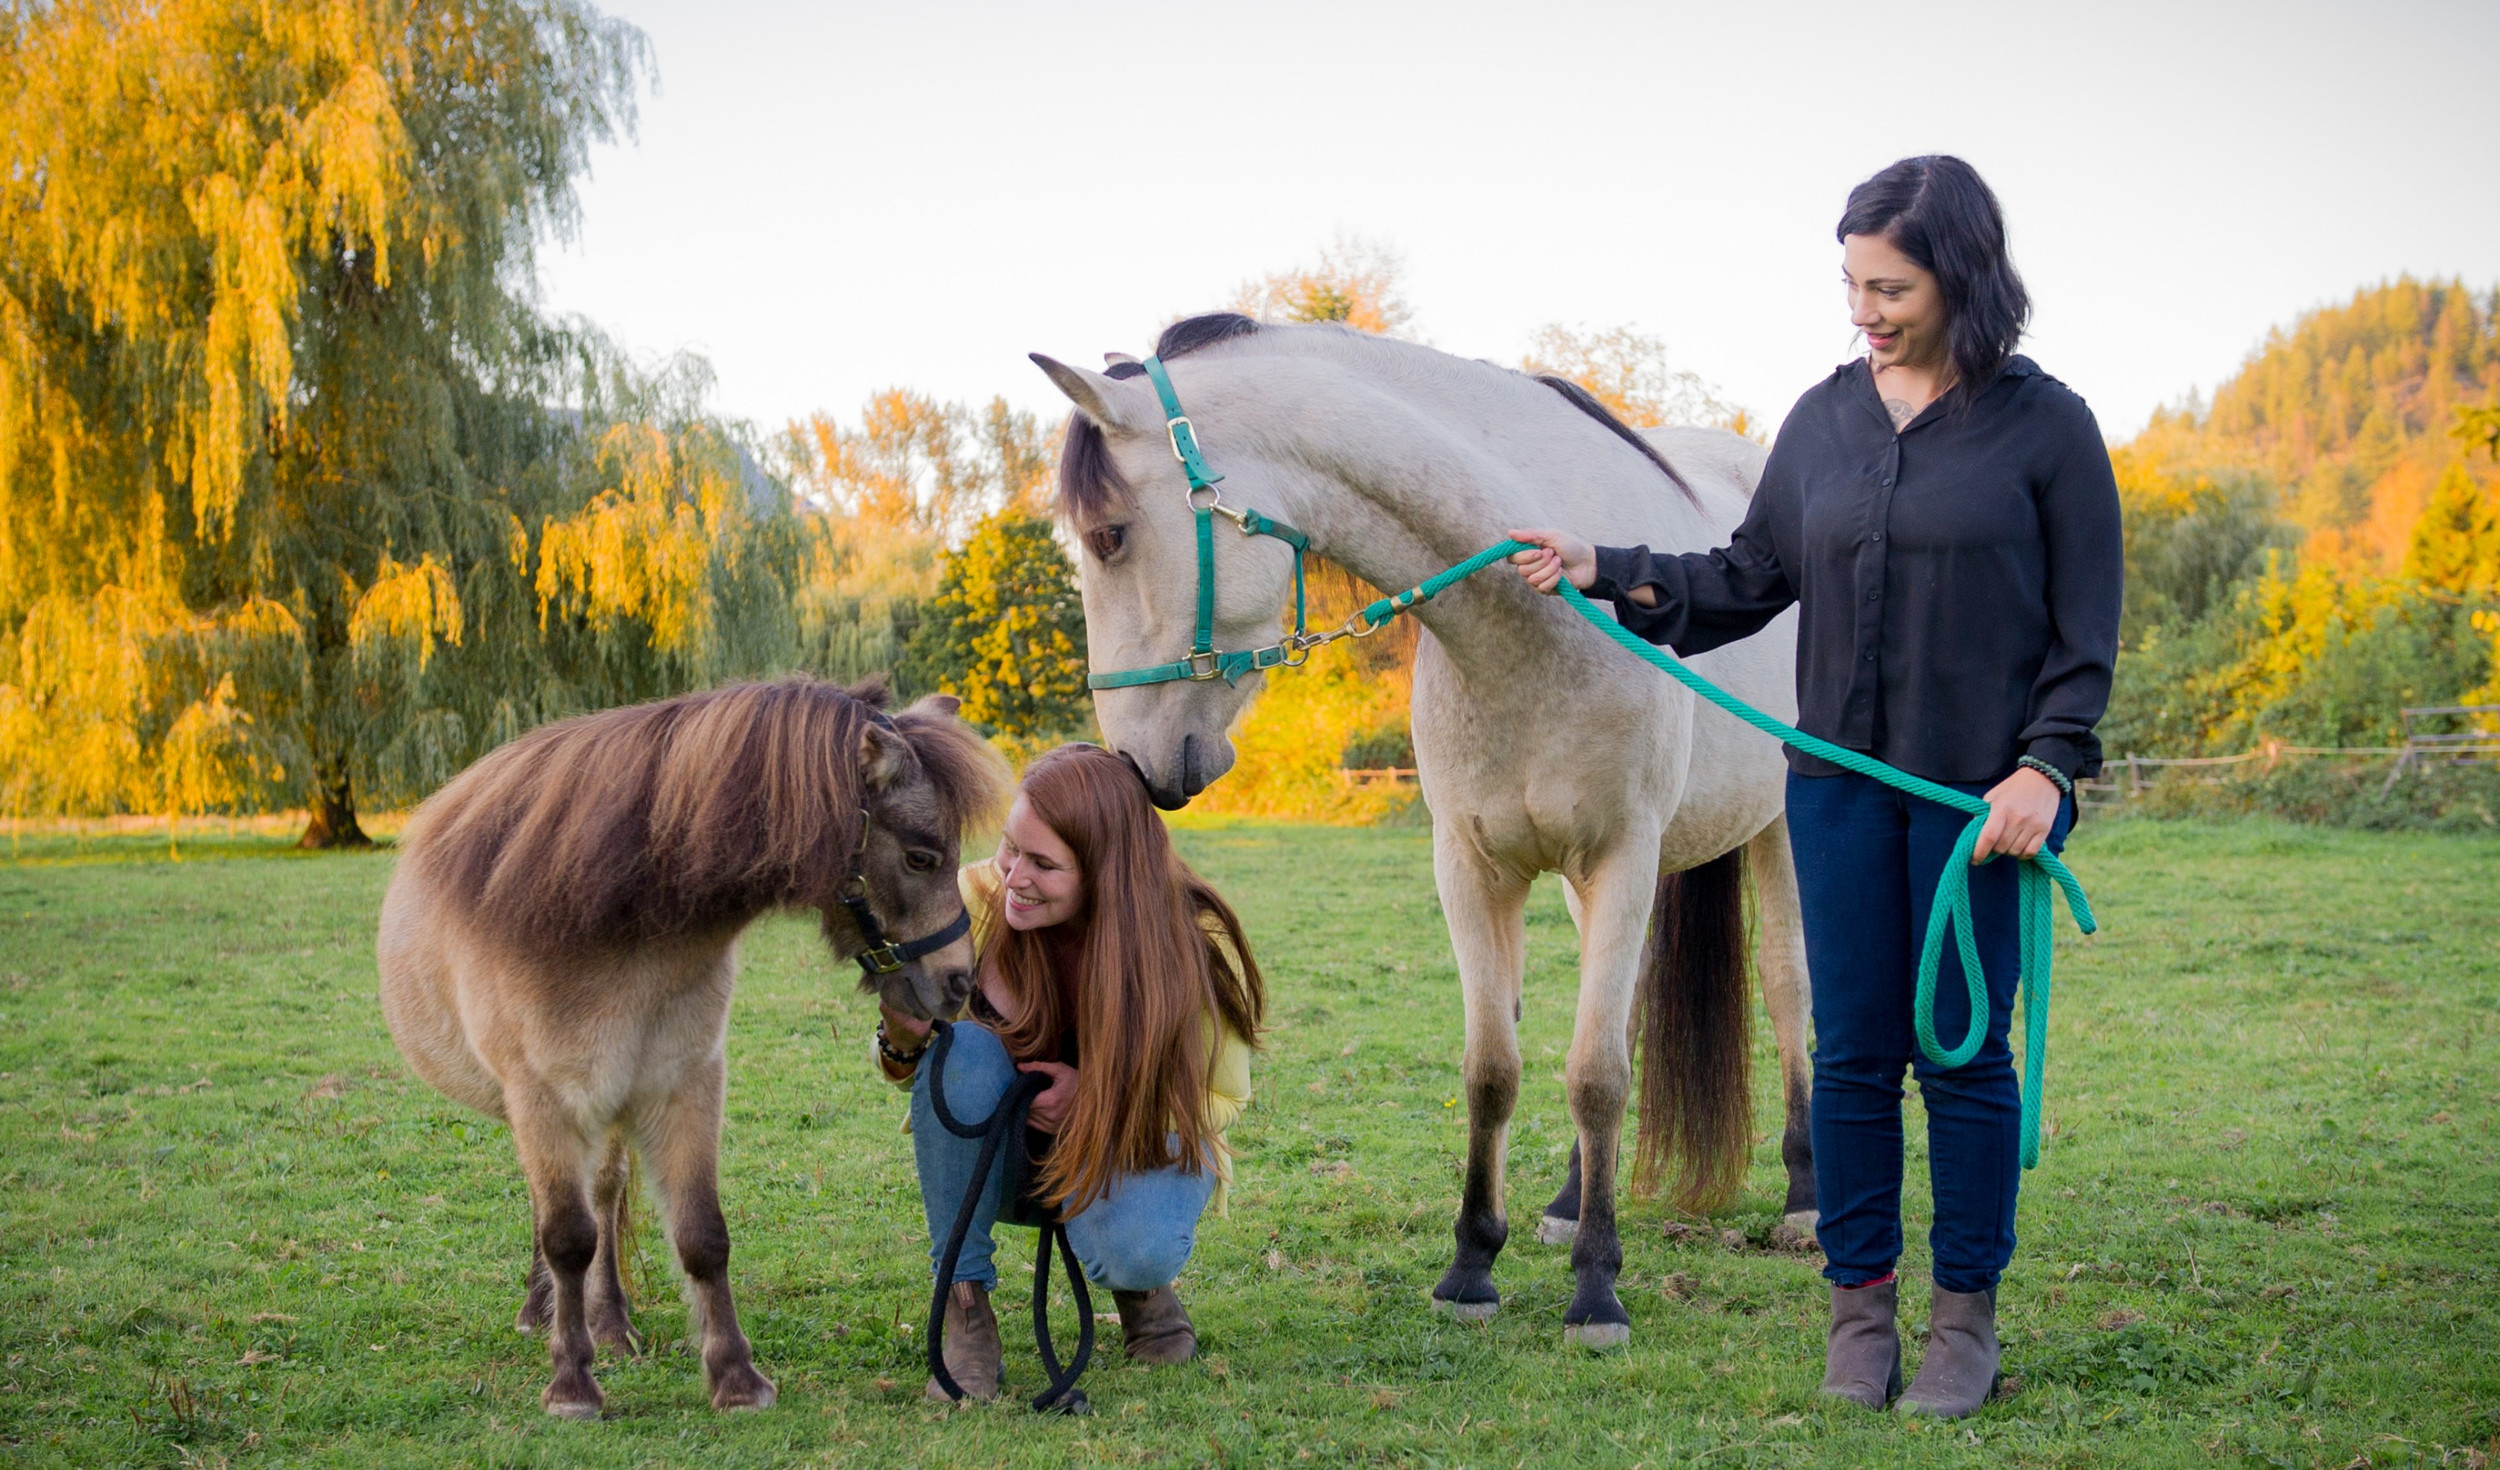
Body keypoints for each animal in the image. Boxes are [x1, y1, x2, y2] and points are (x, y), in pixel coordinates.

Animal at [377, 677, 1008, 1418]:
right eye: (920, 856)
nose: (958, 982)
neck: (612, 923)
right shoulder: (544, 1100)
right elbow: (565, 1237)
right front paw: (571, 1384)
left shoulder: (687, 1086)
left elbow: (701, 1235)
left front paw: (735, 1377)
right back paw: (545, 1314)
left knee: (603, 1196)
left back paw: (610, 1324)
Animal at [1032, 315, 1813, 1350]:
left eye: (1109, 536)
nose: (1137, 761)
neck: (1533, 628)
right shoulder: (1472, 867)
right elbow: (1494, 1069)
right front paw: (1473, 1266)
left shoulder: (1622, 856)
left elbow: (1597, 1076)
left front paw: (1596, 1289)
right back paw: (1571, 1200)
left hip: (1779, 835)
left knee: (1788, 993)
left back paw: (1806, 1195)